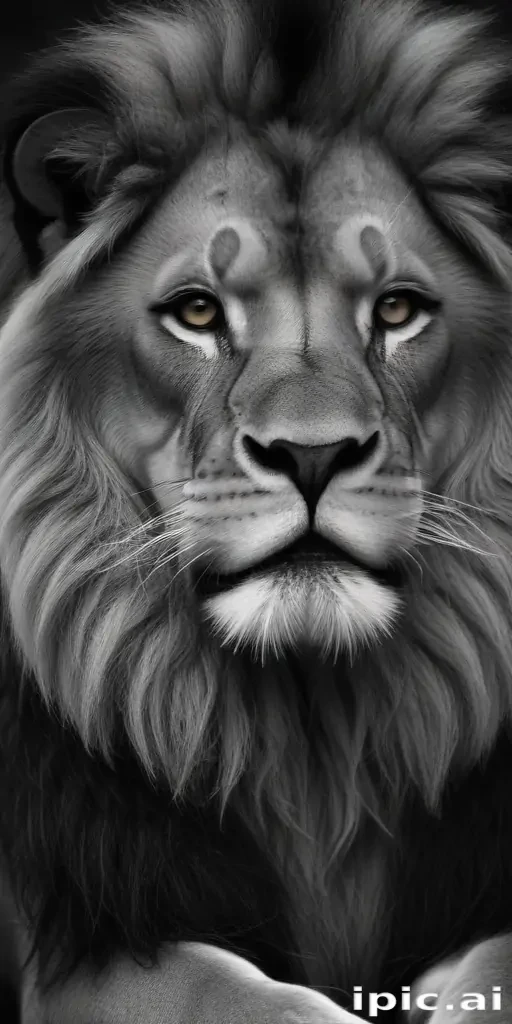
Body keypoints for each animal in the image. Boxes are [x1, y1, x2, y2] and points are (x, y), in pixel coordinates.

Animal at [2, 0, 512, 1020]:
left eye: (397, 310)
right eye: (197, 313)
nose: (311, 454)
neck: (312, 743)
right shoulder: (83, 940)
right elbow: (235, 995)